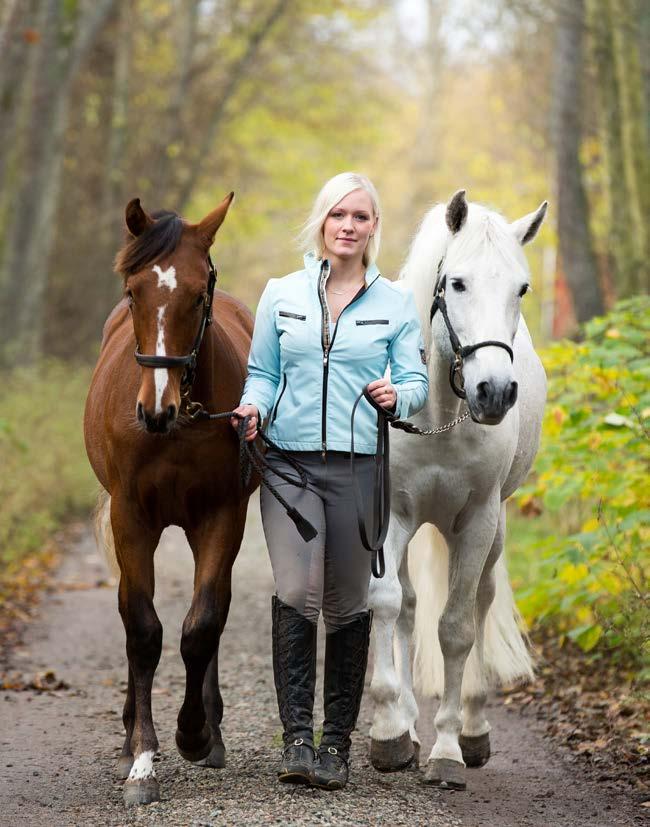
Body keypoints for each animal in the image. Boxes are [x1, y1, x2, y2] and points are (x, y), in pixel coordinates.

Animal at [81, 192, 253, 804]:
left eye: (198, 294)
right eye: (134, 291)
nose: (156, 409)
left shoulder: (222, 515)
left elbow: (201, 626)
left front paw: (195, 733)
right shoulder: (132, 518)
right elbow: (142, 629)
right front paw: (142, 758)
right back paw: (130, 731)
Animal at [368, 191, 544, 792]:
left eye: (522, 288)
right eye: (458, 283)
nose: (495, 391)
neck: (438, 412)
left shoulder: (476, 522)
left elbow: (456, 629)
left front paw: (446, 749)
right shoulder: (392, 517)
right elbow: (388, 604)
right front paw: (390, 731)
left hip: (492, 532)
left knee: (481, 601)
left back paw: (471, 727)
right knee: (406, 606)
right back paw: (407, 724)